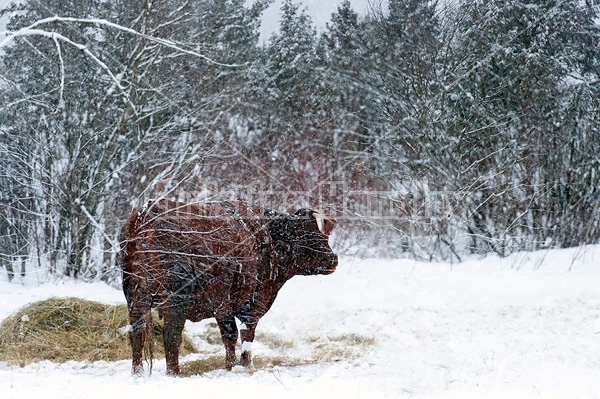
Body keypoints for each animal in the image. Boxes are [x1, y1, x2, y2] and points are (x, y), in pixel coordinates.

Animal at [117, 200, 338, 378]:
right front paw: (240, 366)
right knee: (171, 335)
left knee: (136, 332)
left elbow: (233, 336)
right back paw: (173, 374)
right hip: (176, 299)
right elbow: (240, 335)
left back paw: (137, 373)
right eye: (312, 236)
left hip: (135, 295)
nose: (334, 259)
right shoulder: (244, 303)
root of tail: (147, 213)